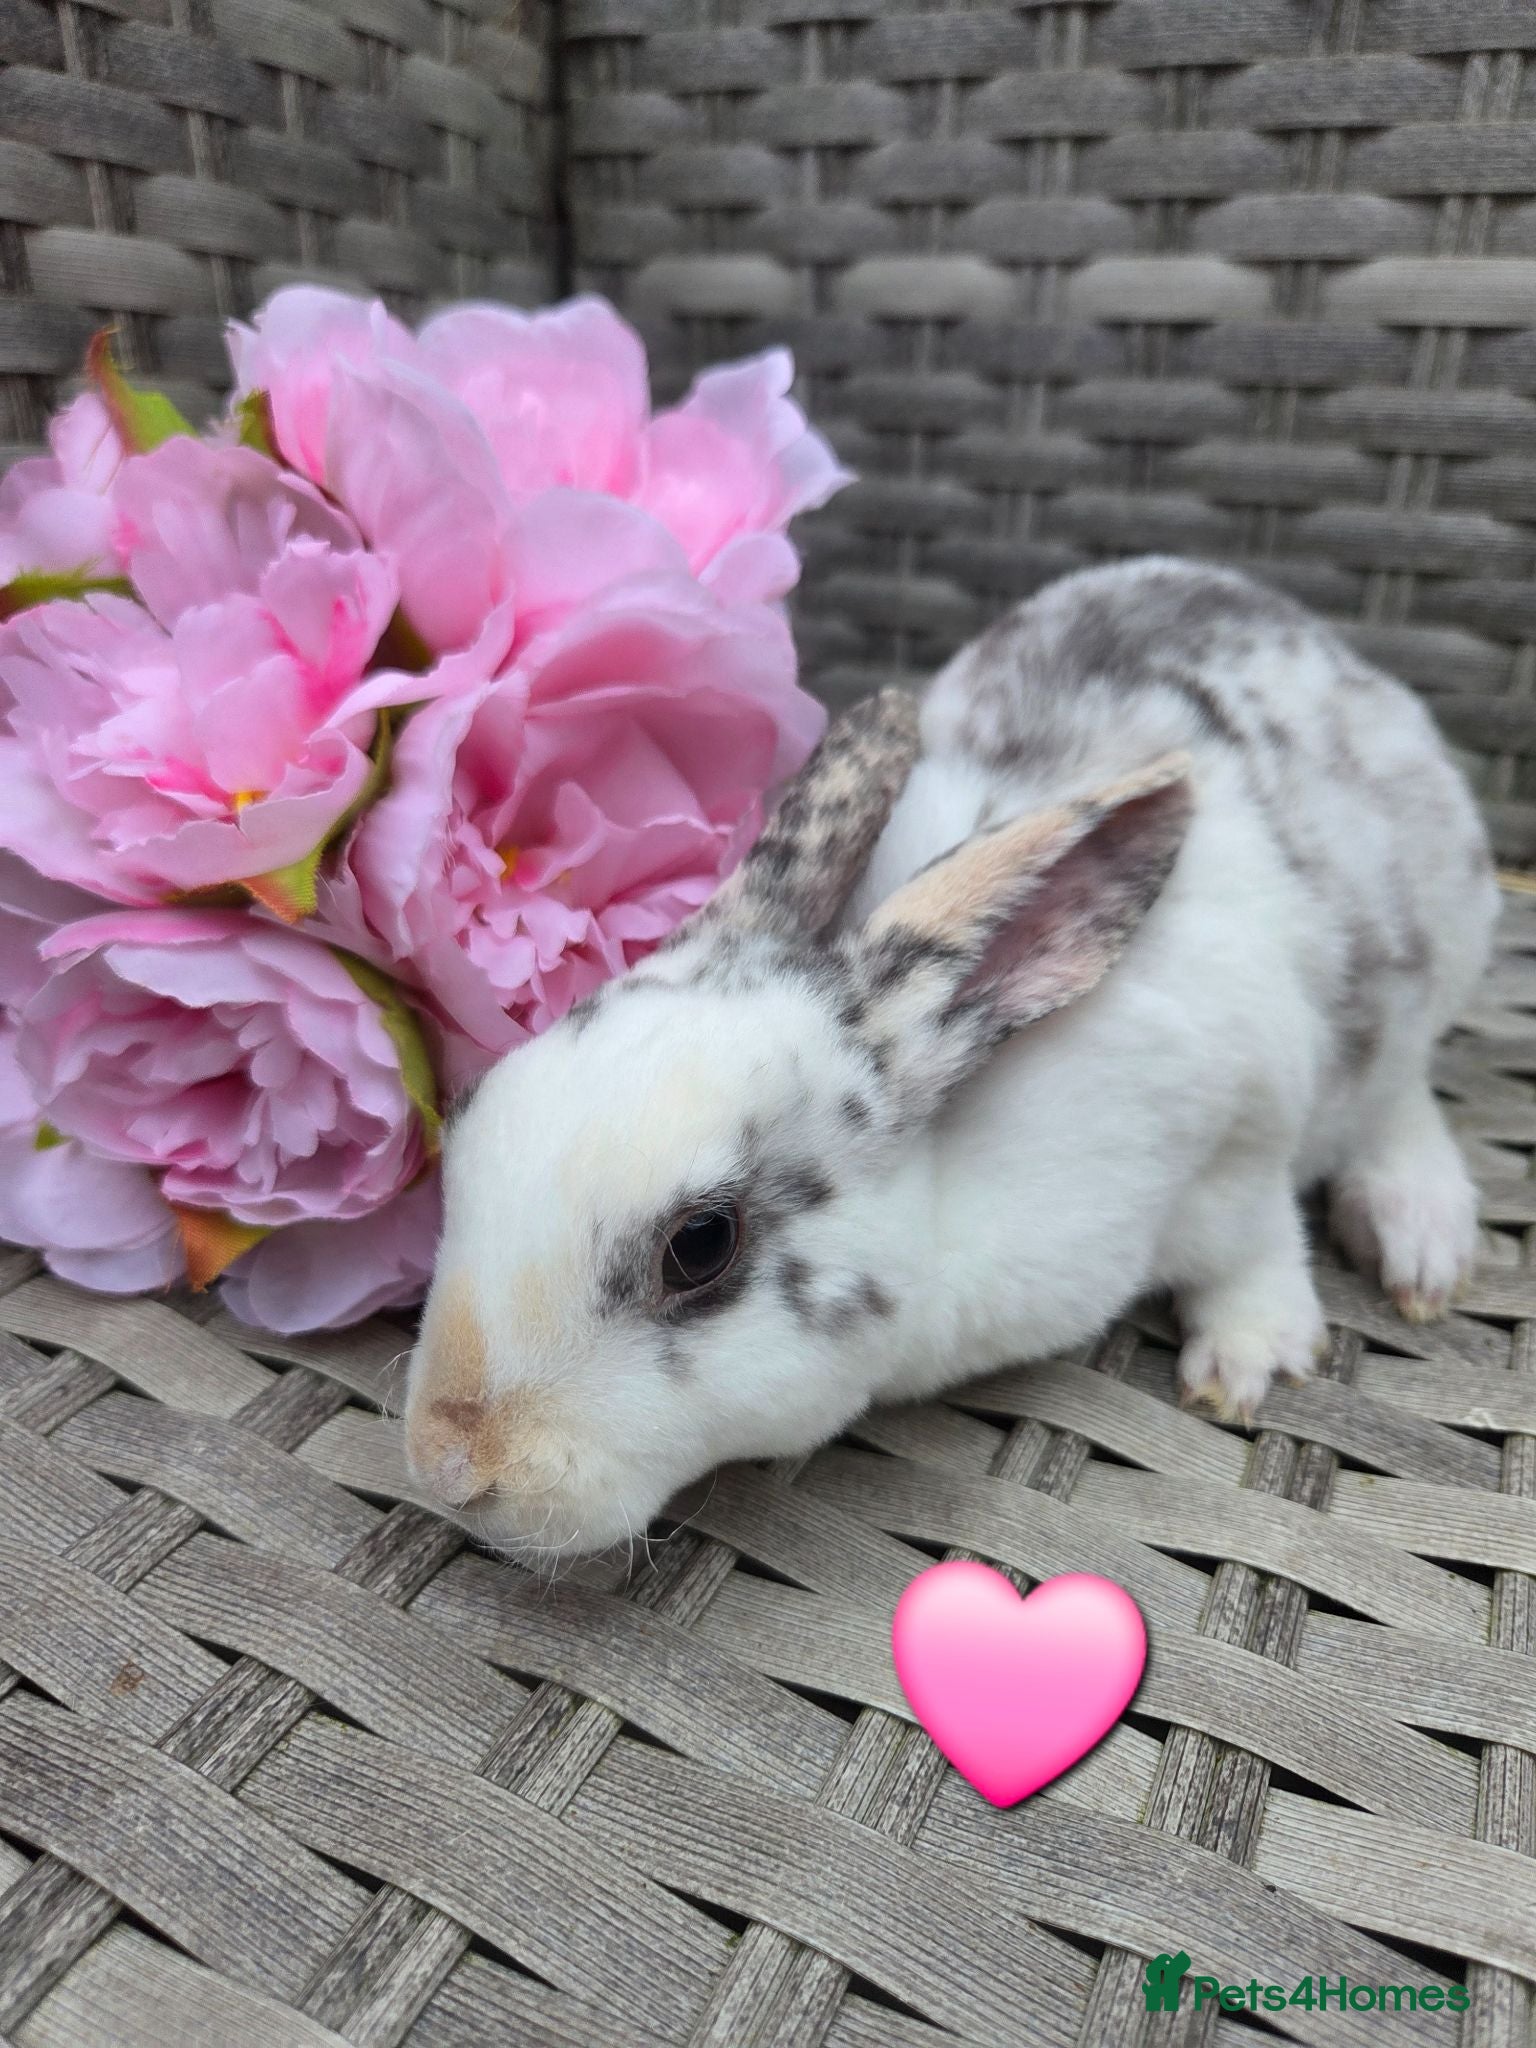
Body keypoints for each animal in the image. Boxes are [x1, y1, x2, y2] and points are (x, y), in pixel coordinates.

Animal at [403, 555, 1498, 1564]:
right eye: (468, 1117)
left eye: (701, 1245)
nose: (451, 1465)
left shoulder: (1242, 1126)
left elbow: (1254, 1242)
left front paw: (1252, 1359)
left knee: (1400, 1094)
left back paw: (1421, 1233)